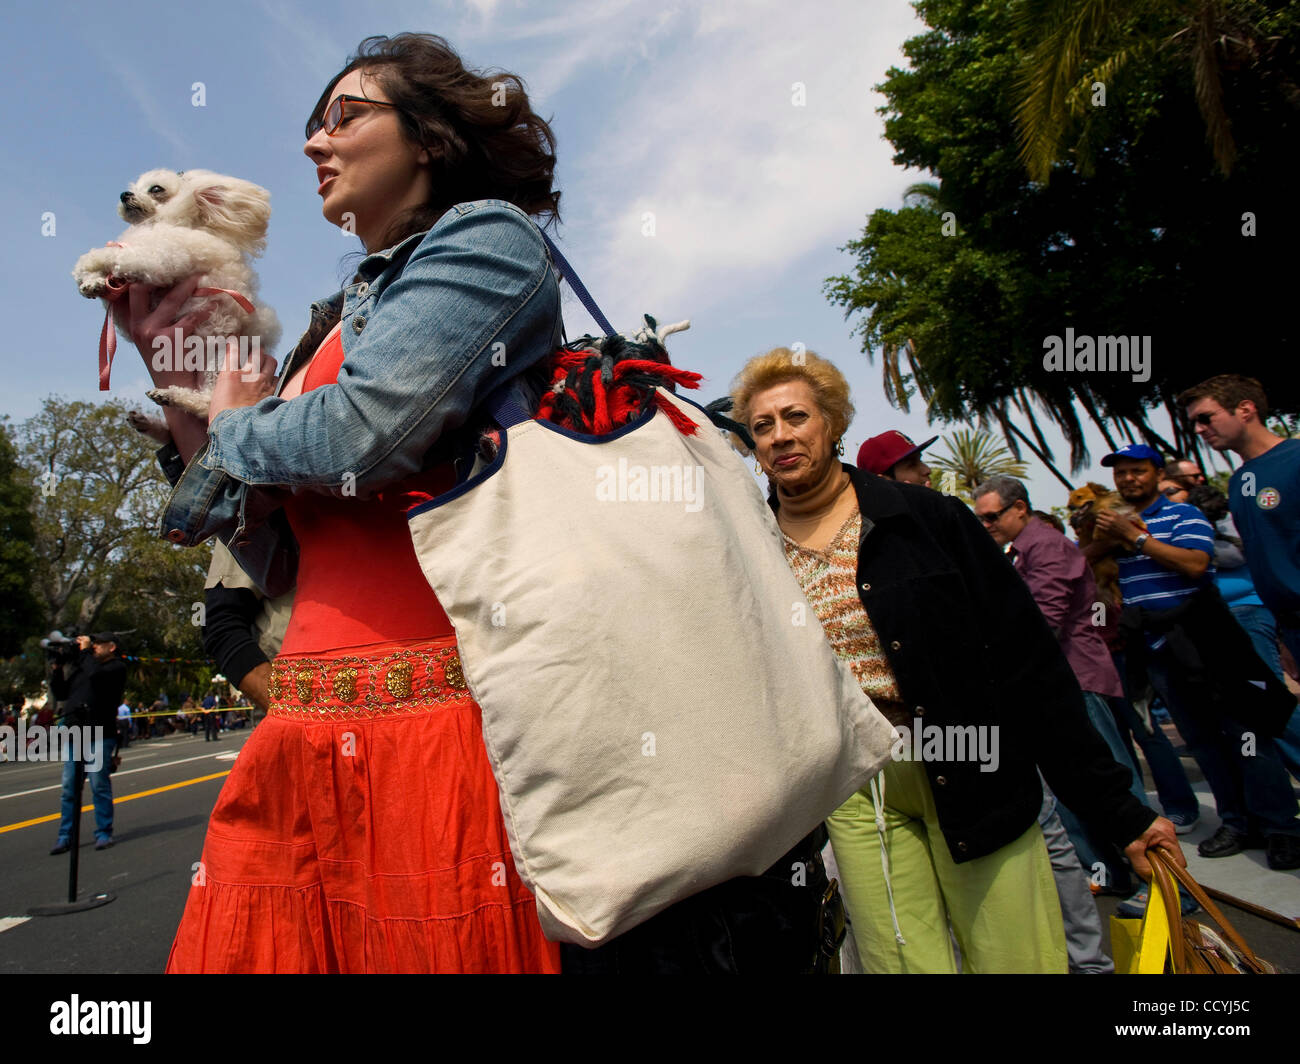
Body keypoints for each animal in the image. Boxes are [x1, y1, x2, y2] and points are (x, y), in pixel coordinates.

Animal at [72, 165, 280, 431]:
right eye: (134, 186)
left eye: (156, 189)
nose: (124, 194)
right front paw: (93, 282)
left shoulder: (161, 258)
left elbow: (113, 255)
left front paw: (86, 269)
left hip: (219, 358)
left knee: (207, 403)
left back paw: (173, 396)